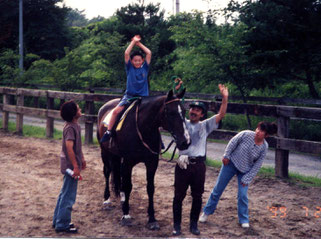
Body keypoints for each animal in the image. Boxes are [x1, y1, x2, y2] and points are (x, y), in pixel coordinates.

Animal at [96, 89, 189, 230]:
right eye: (171, 113)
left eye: (183, 111)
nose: (185, 142)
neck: (143, 127)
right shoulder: (128, 162)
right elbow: (128, 186)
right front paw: (126, 215)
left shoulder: (152, 163)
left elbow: (150, 188)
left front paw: (152, 219)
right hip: (105, 152)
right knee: (107, 172)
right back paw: (107, 200)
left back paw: (121, 199)